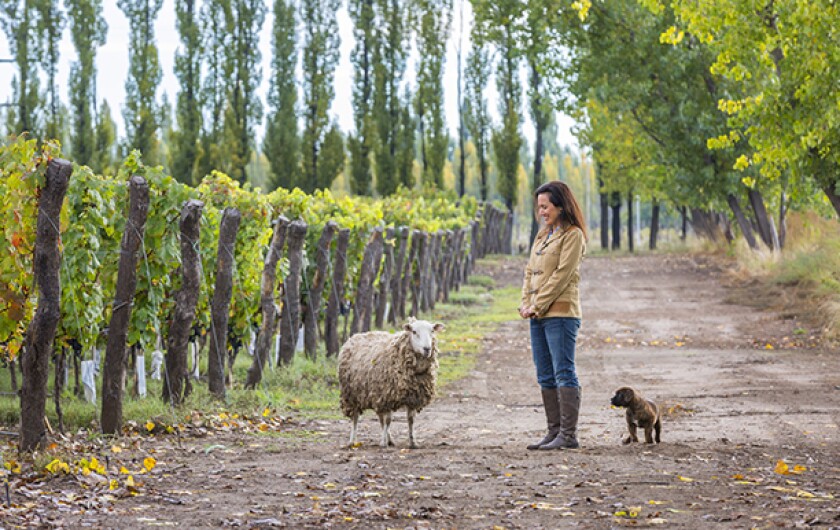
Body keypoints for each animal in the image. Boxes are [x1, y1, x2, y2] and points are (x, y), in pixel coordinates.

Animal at [338, 316, 446, 448]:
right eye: (414, 332)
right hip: (351, 395)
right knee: (355, 417)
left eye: (432, 331)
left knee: (380, 417)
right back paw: (352, 441)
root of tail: (354, 336)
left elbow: (411, 420)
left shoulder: (412, 397)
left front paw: (413, 442)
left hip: (375, 395)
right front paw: (383, 442)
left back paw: (390, 440)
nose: (427, 349)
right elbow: (388, 420)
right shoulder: (388, 396)